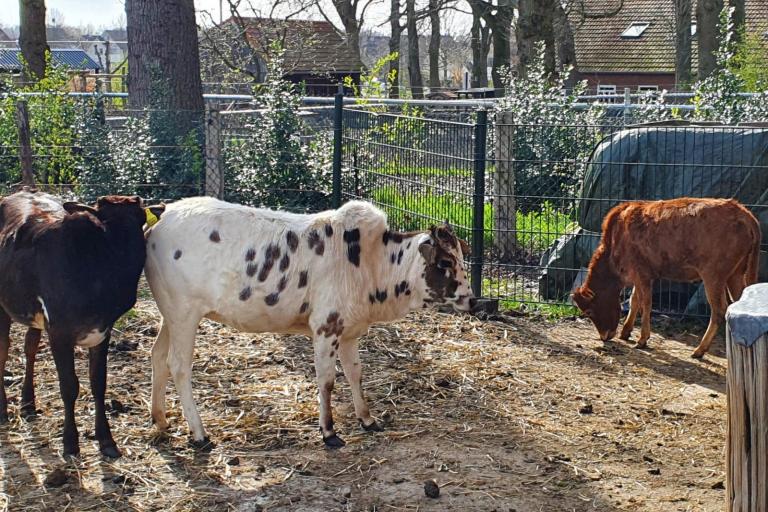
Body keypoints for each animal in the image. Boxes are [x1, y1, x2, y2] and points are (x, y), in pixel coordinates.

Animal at [0, 191, 157, 456]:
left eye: (139, 219)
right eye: (105, 223)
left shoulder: (102, 331)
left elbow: (98, 382)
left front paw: (106, 439)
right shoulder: (59, 332)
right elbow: (69, 386)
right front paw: (70, 441)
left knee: (30, 347)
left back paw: (28, 402)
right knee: (3, 351)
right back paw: (3, 410)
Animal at [144, 197, 474, 448]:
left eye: (460, 258)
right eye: (444, 262)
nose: (472, 299)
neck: (370, 260)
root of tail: (162, 216)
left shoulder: (350, 332)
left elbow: (355, 374)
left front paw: (367, 418)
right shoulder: (326, 328)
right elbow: (327, 381)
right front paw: (329, 431)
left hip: (170, 316)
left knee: (158, 357)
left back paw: (160, 418)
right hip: (184, 314)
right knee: (178, 366)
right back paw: (199, 434)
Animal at [572, 198, 760, 358]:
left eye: (588, 311)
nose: (604, 336)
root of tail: (742, 211)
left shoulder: (642, 274)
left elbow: (646, 304)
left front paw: (642, 339)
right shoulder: (640, 276)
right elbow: (634, 300)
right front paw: (625, 332)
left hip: (713, 276)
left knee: (719, 310)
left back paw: (699, 350)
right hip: (735, 274)